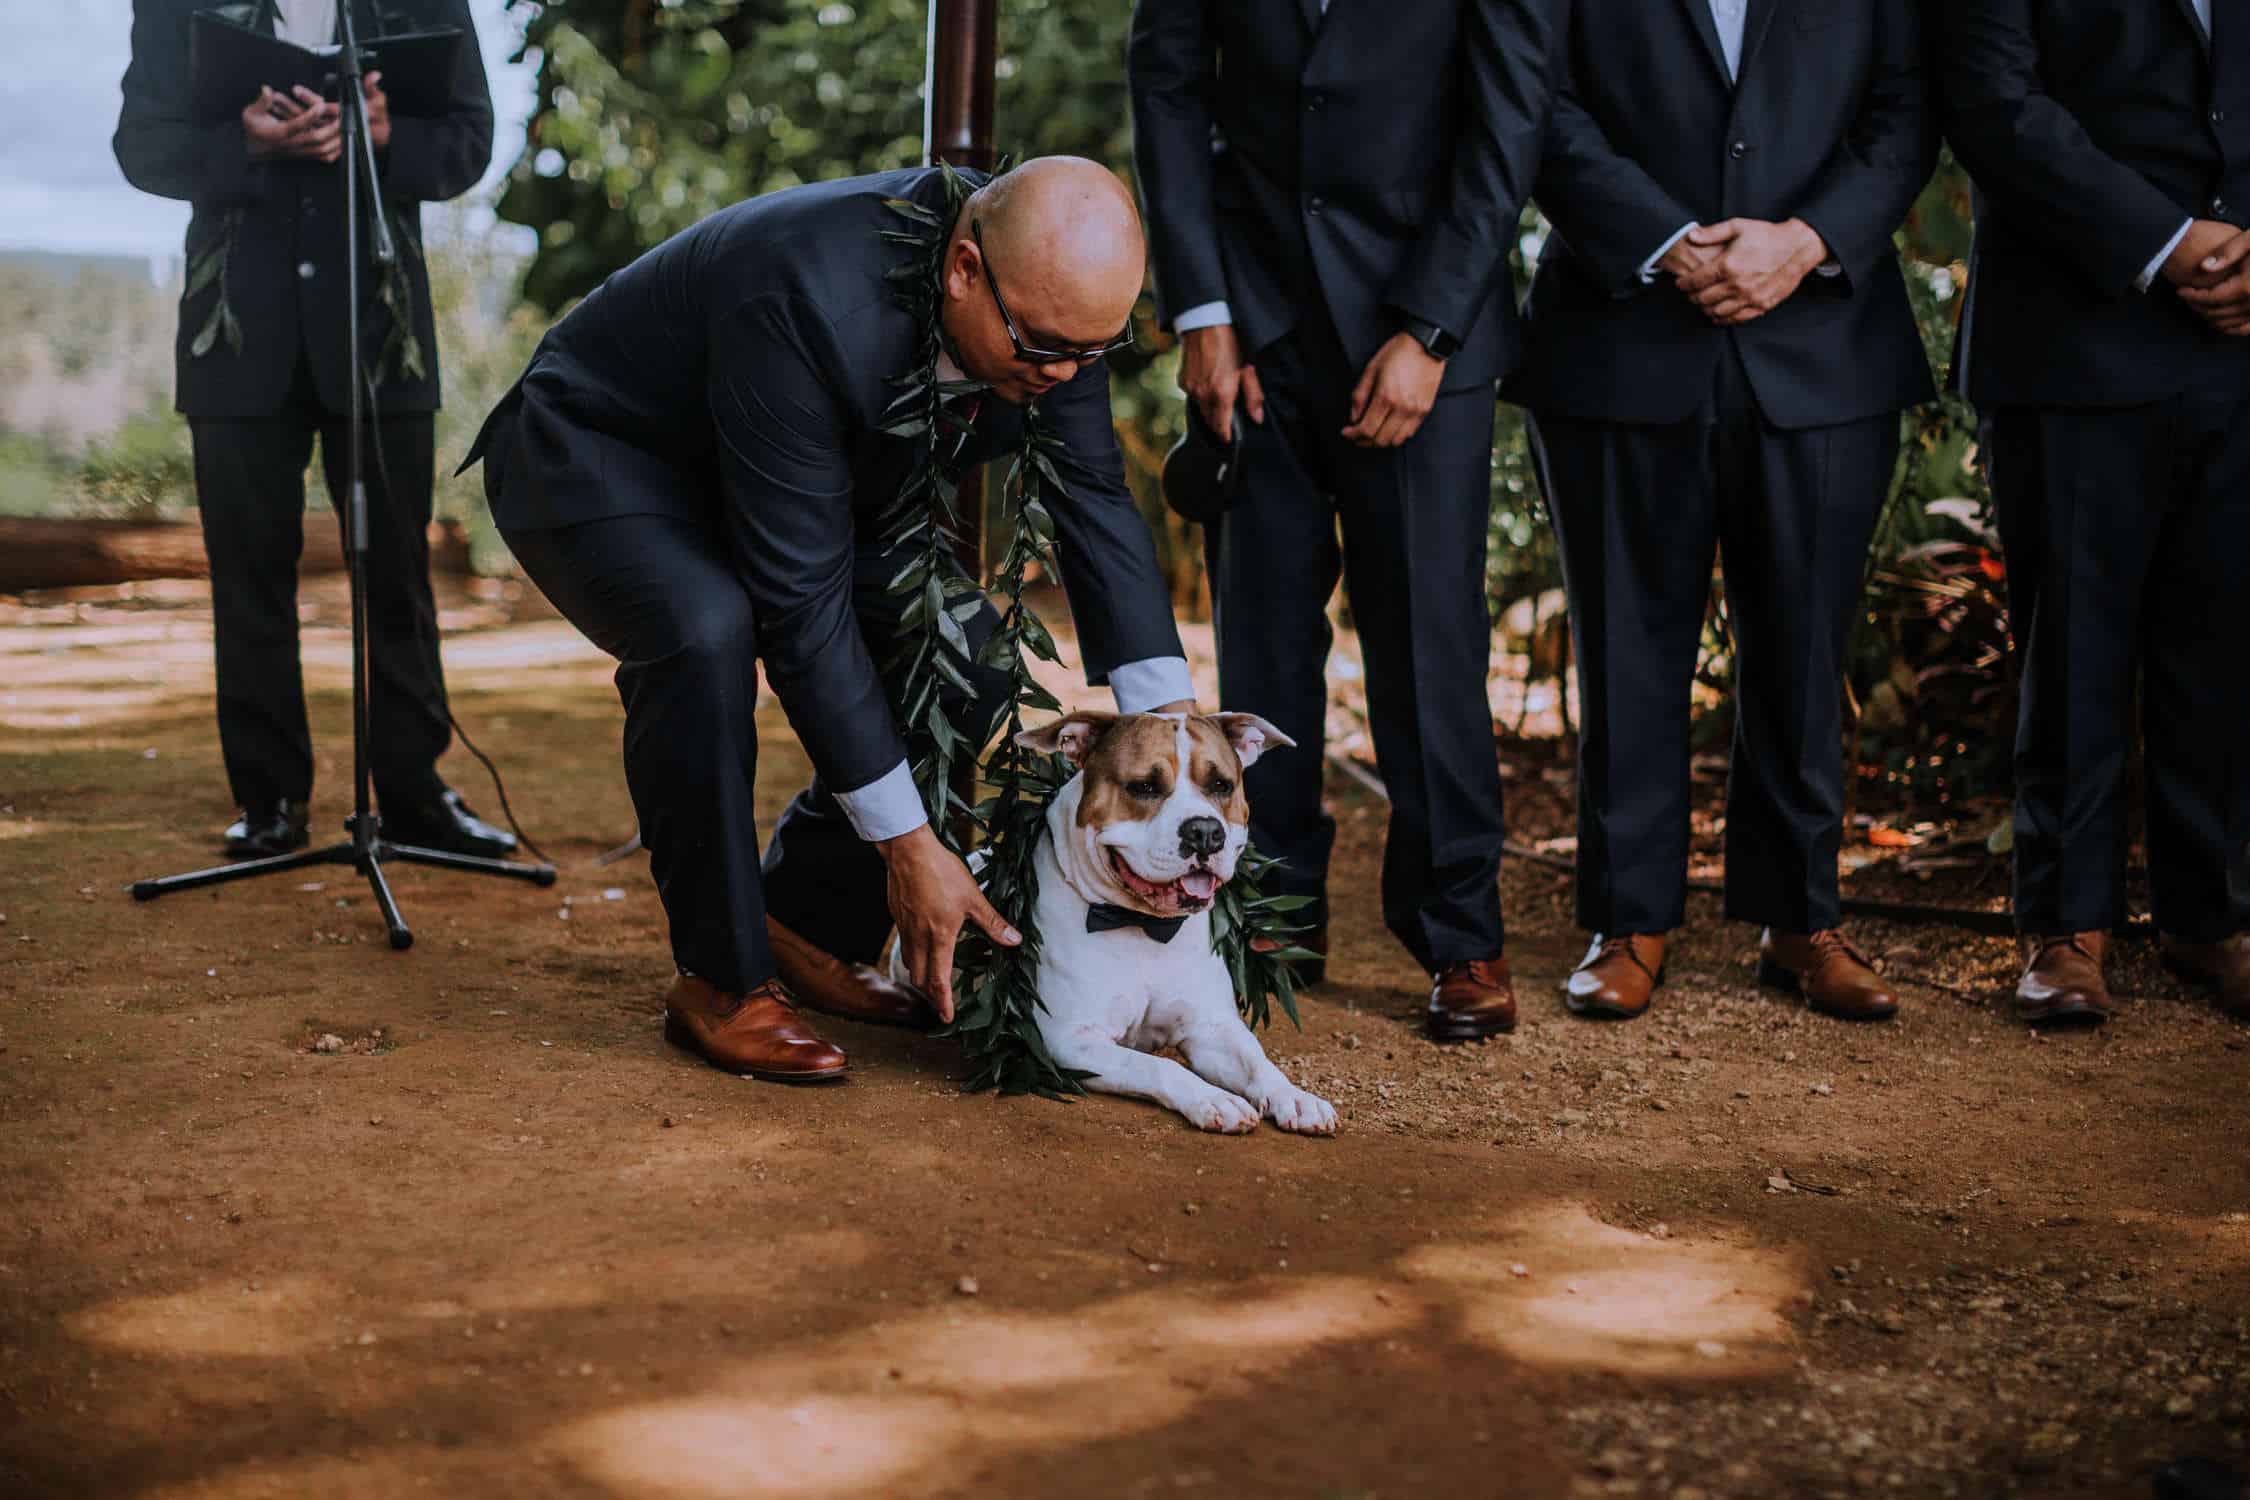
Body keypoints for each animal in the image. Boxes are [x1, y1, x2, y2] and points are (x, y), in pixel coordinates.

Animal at [1006, 710, 1339, 1136]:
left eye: (1221, 785)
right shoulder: (1071, 1040)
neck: (1145, 927)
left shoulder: (1212, 1027)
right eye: (1144, 787)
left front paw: (1295, 1096)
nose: (1205, 831)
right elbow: (1157, 1065)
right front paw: (1214, 1099)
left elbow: (1257, 1061)